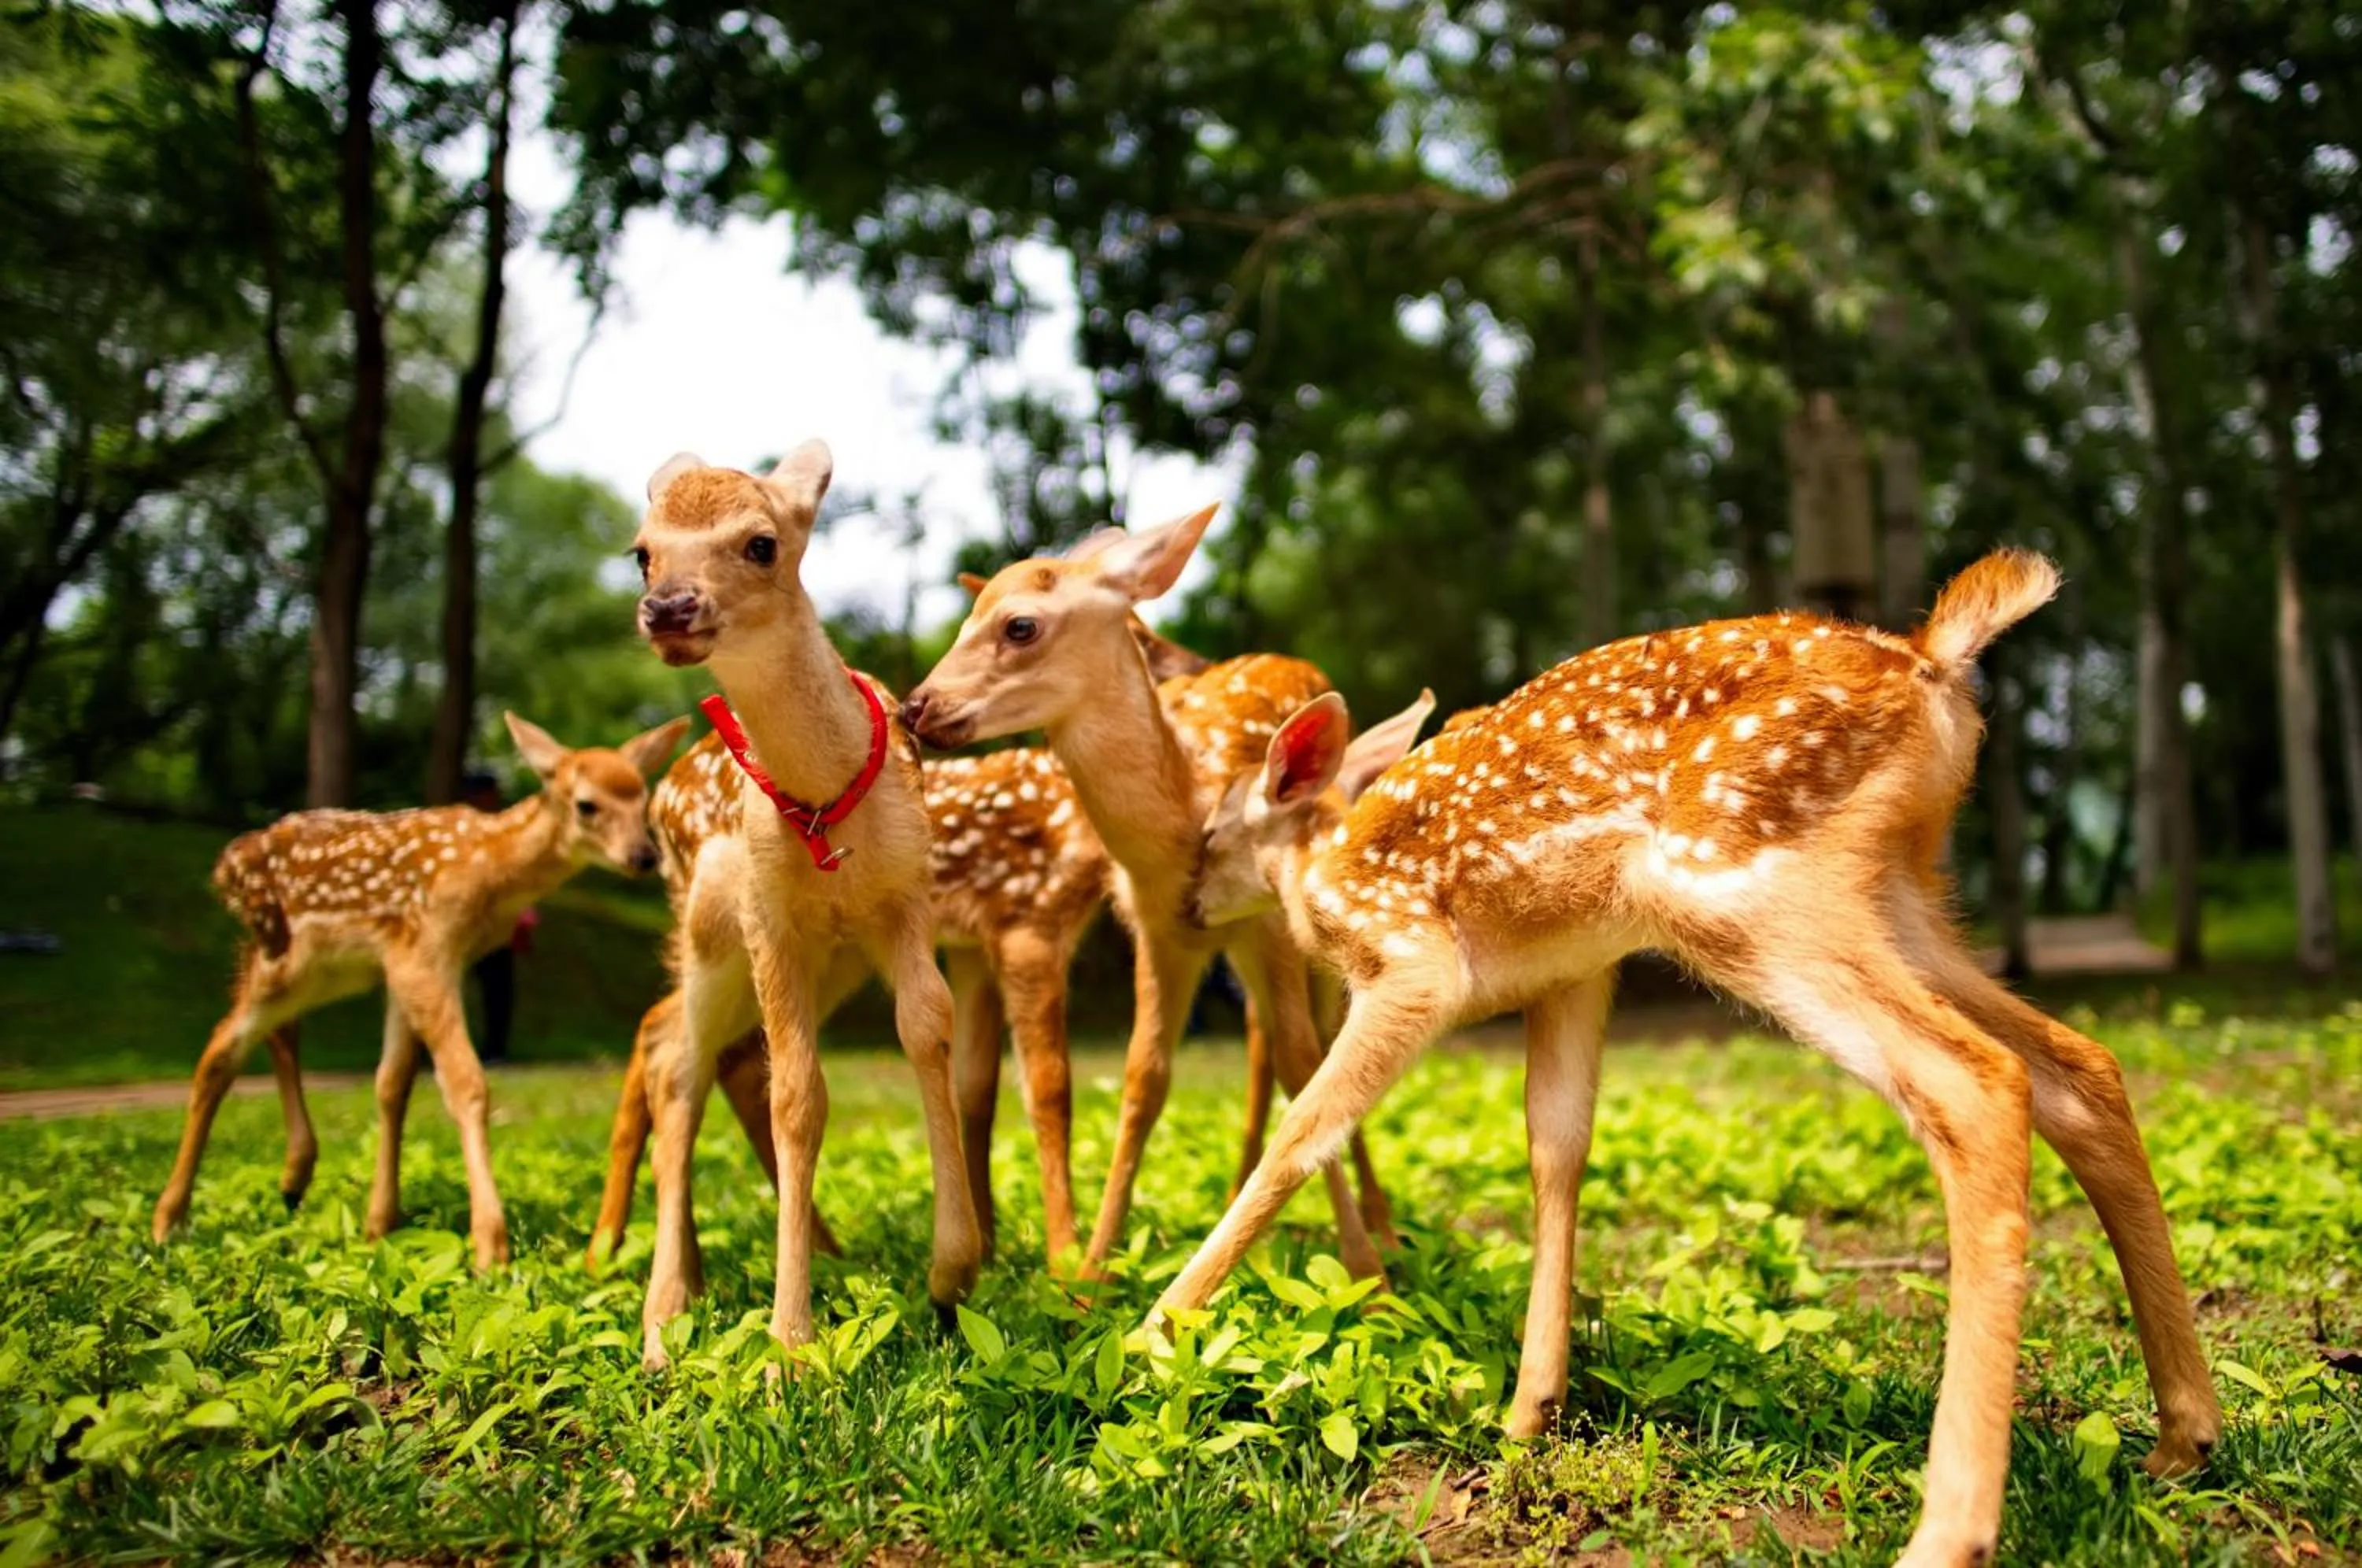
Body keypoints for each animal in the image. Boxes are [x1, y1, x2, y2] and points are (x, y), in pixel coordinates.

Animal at [151, 712, 689, 1270]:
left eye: (641, 801)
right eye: (587, 804)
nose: (643, 856)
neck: (490, 868)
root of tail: (227, 865)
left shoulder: (406, 961)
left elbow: (393, 1083)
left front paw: (379, 1224)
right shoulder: (426, 953)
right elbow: (465, 1082)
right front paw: (489, 1244)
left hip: (321, 970)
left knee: (278, 1033)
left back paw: (293, 1178)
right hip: (283, 956)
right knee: (221, 1048)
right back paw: (169, 1219)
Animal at [626, 439, 981, 1366]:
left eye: (761, 543)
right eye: (641, 550)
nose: (667, 607)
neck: (825, 801)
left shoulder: (907, 896)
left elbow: (927, 1025)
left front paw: (952, 1273)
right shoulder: (770, 920)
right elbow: (801, 1095)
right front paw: (790, 1346)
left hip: (830, 962)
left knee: (721, 1059)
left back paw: (799, 1251)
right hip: (710, 933)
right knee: (676, 1061)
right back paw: (663, 1314)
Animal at [897, 507, 1396, 1282]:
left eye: (1019, 625)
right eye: (963, 618)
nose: (916, 704)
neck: (1187, 814)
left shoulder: (1268, 930)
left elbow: (1303, 1065)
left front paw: (1364, 1270)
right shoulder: (1158, 932)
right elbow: (1143, 1080)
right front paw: (1093, 1269)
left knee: (1304, 1039)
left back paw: (1379, 1222)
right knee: (1259, 1043)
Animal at [1162, 550, 2222, 1568]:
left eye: (1211, 831)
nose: (1185, 906)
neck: (1321, 878)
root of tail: (1934, 659)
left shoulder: (1414, 963)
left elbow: (1304, 1132)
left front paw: (1159, 1328)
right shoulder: (1575, 971)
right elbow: (1556, 1148)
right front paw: (1528, 1415)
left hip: (1742, 888)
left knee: (1976, 1082)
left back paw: (1948, 1533)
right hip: (1898, 894)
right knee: (2081, 1068)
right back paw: (2184, 1439)